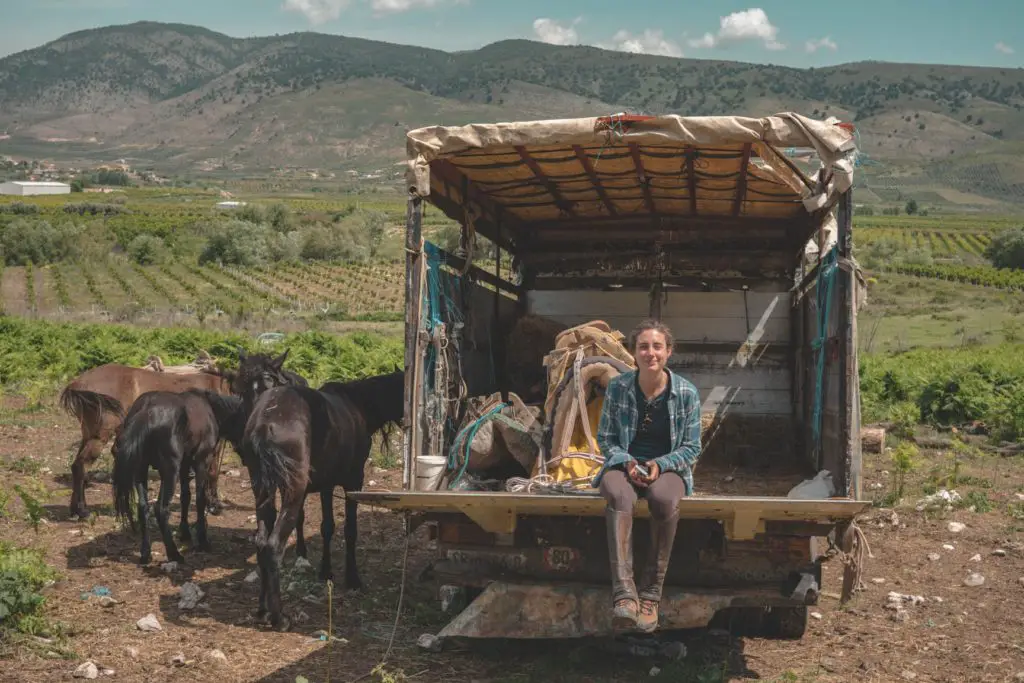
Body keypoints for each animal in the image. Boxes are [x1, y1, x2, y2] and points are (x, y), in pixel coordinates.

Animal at [61, 362, 234, 518]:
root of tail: (76, 384)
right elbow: (212, 473)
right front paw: (214, 505)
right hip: (100, 435)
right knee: (80, 466)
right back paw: (83, 510)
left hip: (89, 434)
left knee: (77, 467)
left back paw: (75, 509)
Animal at [111, 387, 245, 565]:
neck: (211, 408)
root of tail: (146, 410)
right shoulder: (201, 461)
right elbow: (200, 499)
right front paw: (202, 540)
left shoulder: (185, 465)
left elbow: (185, 497)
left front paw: (185, 532)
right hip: (169, 471)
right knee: (161, 509)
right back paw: (174, 554)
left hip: (141, 470)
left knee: (143, 508)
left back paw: (146, 554)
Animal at [237, 370, 401, 634]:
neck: (357, 405)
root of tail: (264, 423)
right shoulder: (353, 481)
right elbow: (350, 530)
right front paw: (352, 578)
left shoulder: (326, 485)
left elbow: (327, 527)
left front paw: (326, 571)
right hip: (293, 492)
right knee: (273, 546)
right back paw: (279, 617)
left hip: (262, 490)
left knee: (261, 543)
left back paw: (263, 611)